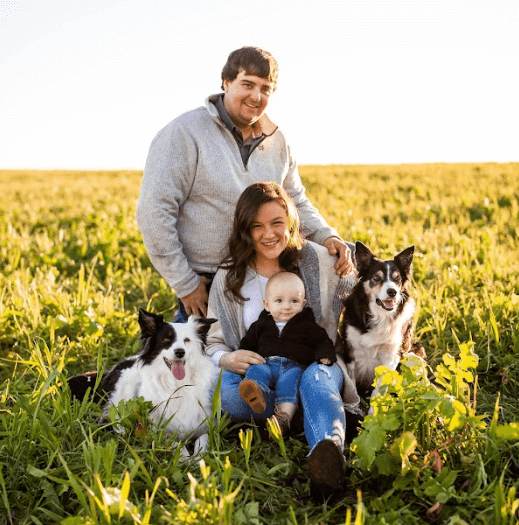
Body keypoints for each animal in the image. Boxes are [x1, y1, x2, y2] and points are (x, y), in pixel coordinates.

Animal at [94, 310, 218, 452]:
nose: (180, 352)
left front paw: (199, 456)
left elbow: (203, 440)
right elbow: (177, 446)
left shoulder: (206, 426)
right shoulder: (158, 431)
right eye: (166, 339)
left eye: (187, 340)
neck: (178, 385)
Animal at [342, 243, 422, 402]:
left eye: (397, 279)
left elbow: (379, 387)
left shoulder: (392, 355)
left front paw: (374, 408)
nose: (392, 292)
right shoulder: (350, 349)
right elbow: (352, 384)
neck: (380, 315)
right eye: (376, 278)